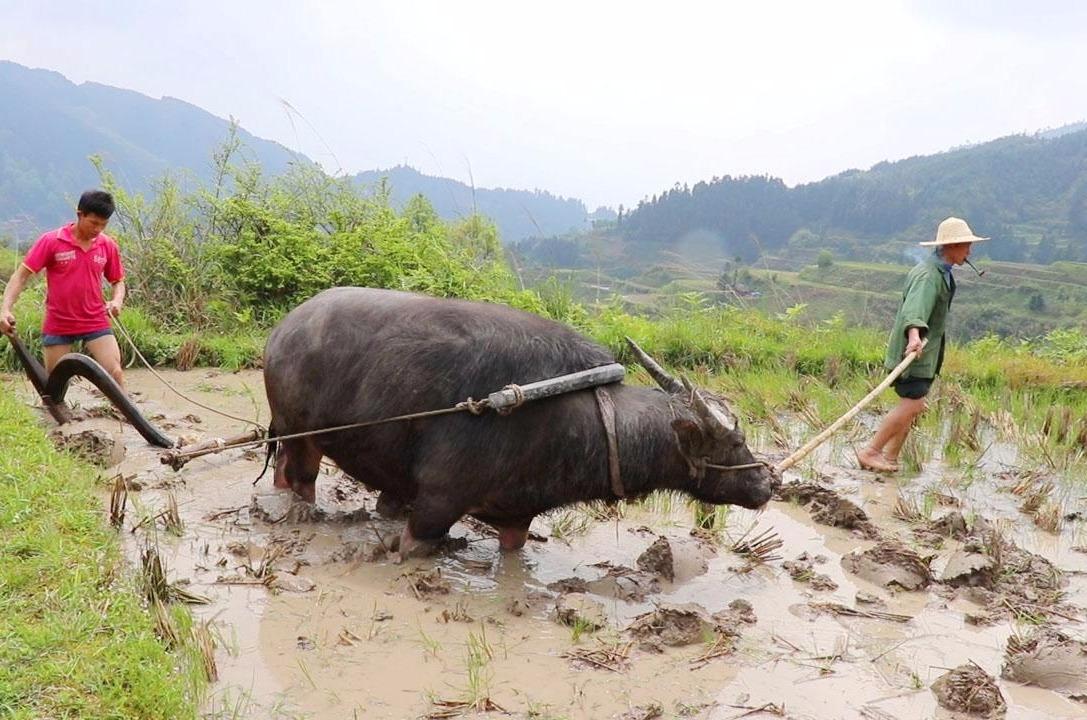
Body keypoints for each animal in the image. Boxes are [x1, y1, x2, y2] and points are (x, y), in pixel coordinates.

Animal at [263, 287, 773, 556]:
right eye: (731, 444)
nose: (769, 483)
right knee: (302, 480)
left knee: (283, 474)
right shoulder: (434, 507)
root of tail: (285, 328)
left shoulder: (517, 518)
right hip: (300, 434)